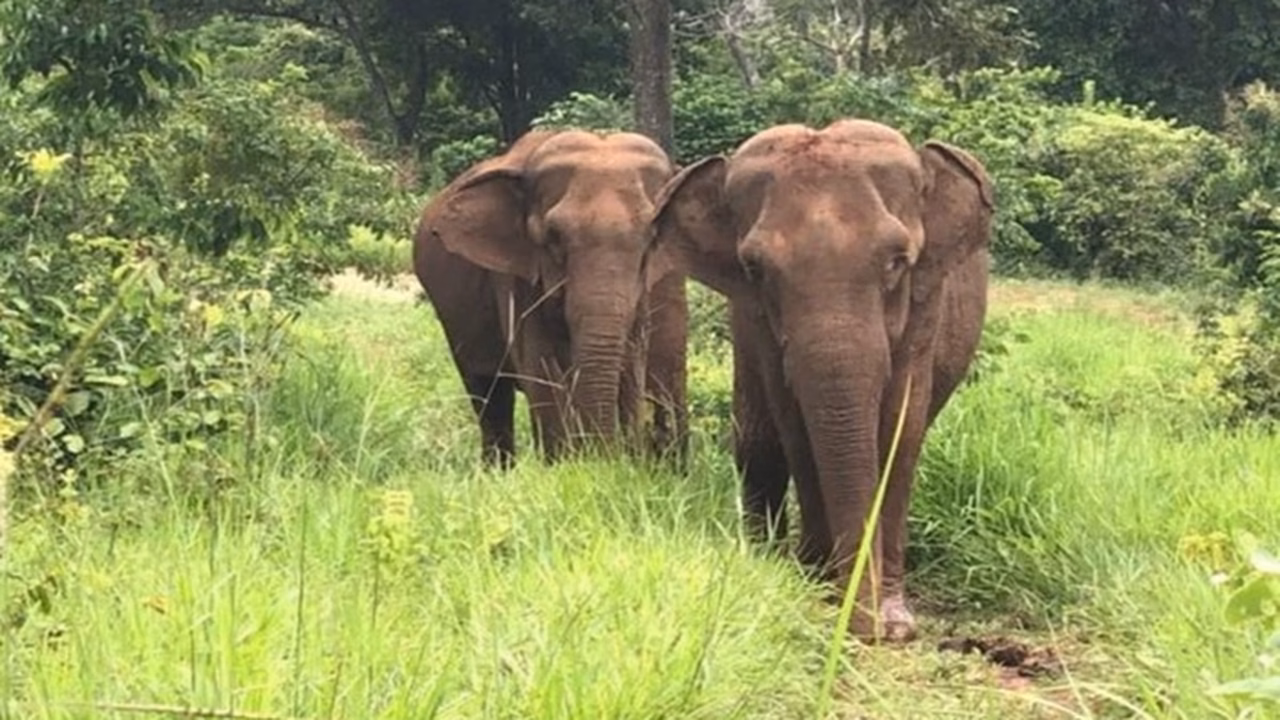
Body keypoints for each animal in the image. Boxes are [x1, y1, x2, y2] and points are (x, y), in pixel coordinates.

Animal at [414, 129, 688, 467]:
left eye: (651, 239)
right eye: (554, 237)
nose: (606, 456)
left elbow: (633, 363)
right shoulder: (516, 276)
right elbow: (541, 371)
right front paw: (569, 467)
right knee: (489, 394)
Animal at [651, 119, 993, 642]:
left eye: (897, 261)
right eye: (755, 269)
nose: (864, 629)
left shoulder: (924, 306)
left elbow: (900, 432)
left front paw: (894, 622)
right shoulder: (758, 323)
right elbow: (796, 428)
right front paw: (816, 589)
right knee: (758, 446)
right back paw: (767, 559)